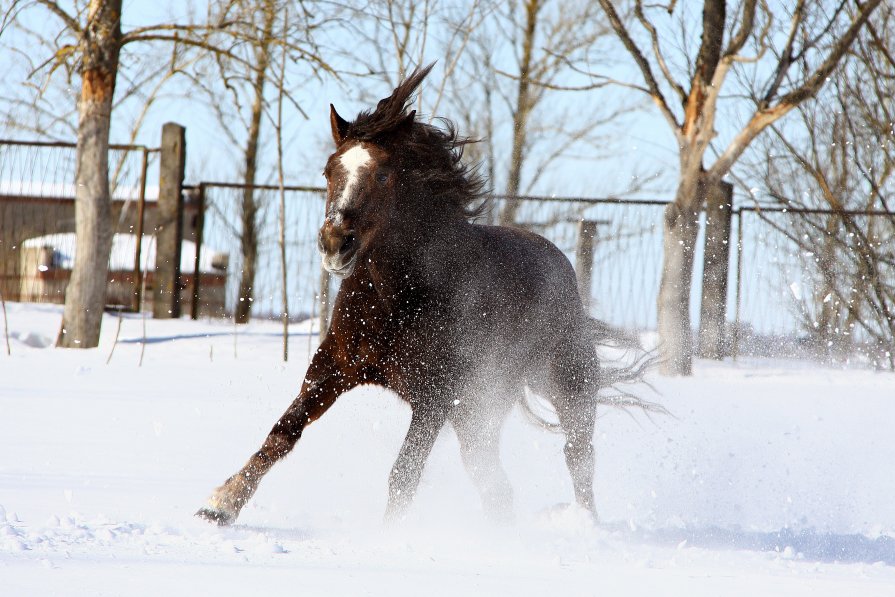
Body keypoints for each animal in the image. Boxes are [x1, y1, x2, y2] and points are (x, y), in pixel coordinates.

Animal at [198, 62, 656, 524]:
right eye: (329, 171)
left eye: (382, 174)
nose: (334, 244)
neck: (396, 295)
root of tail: (562, 267)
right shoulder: (334, 367)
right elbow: (284, 431)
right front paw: (222, 503)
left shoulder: (434, 395)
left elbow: (404, 474)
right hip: (478, 412)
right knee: (496, 484)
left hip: (563, 383)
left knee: (578, 455)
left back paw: (584, 523)